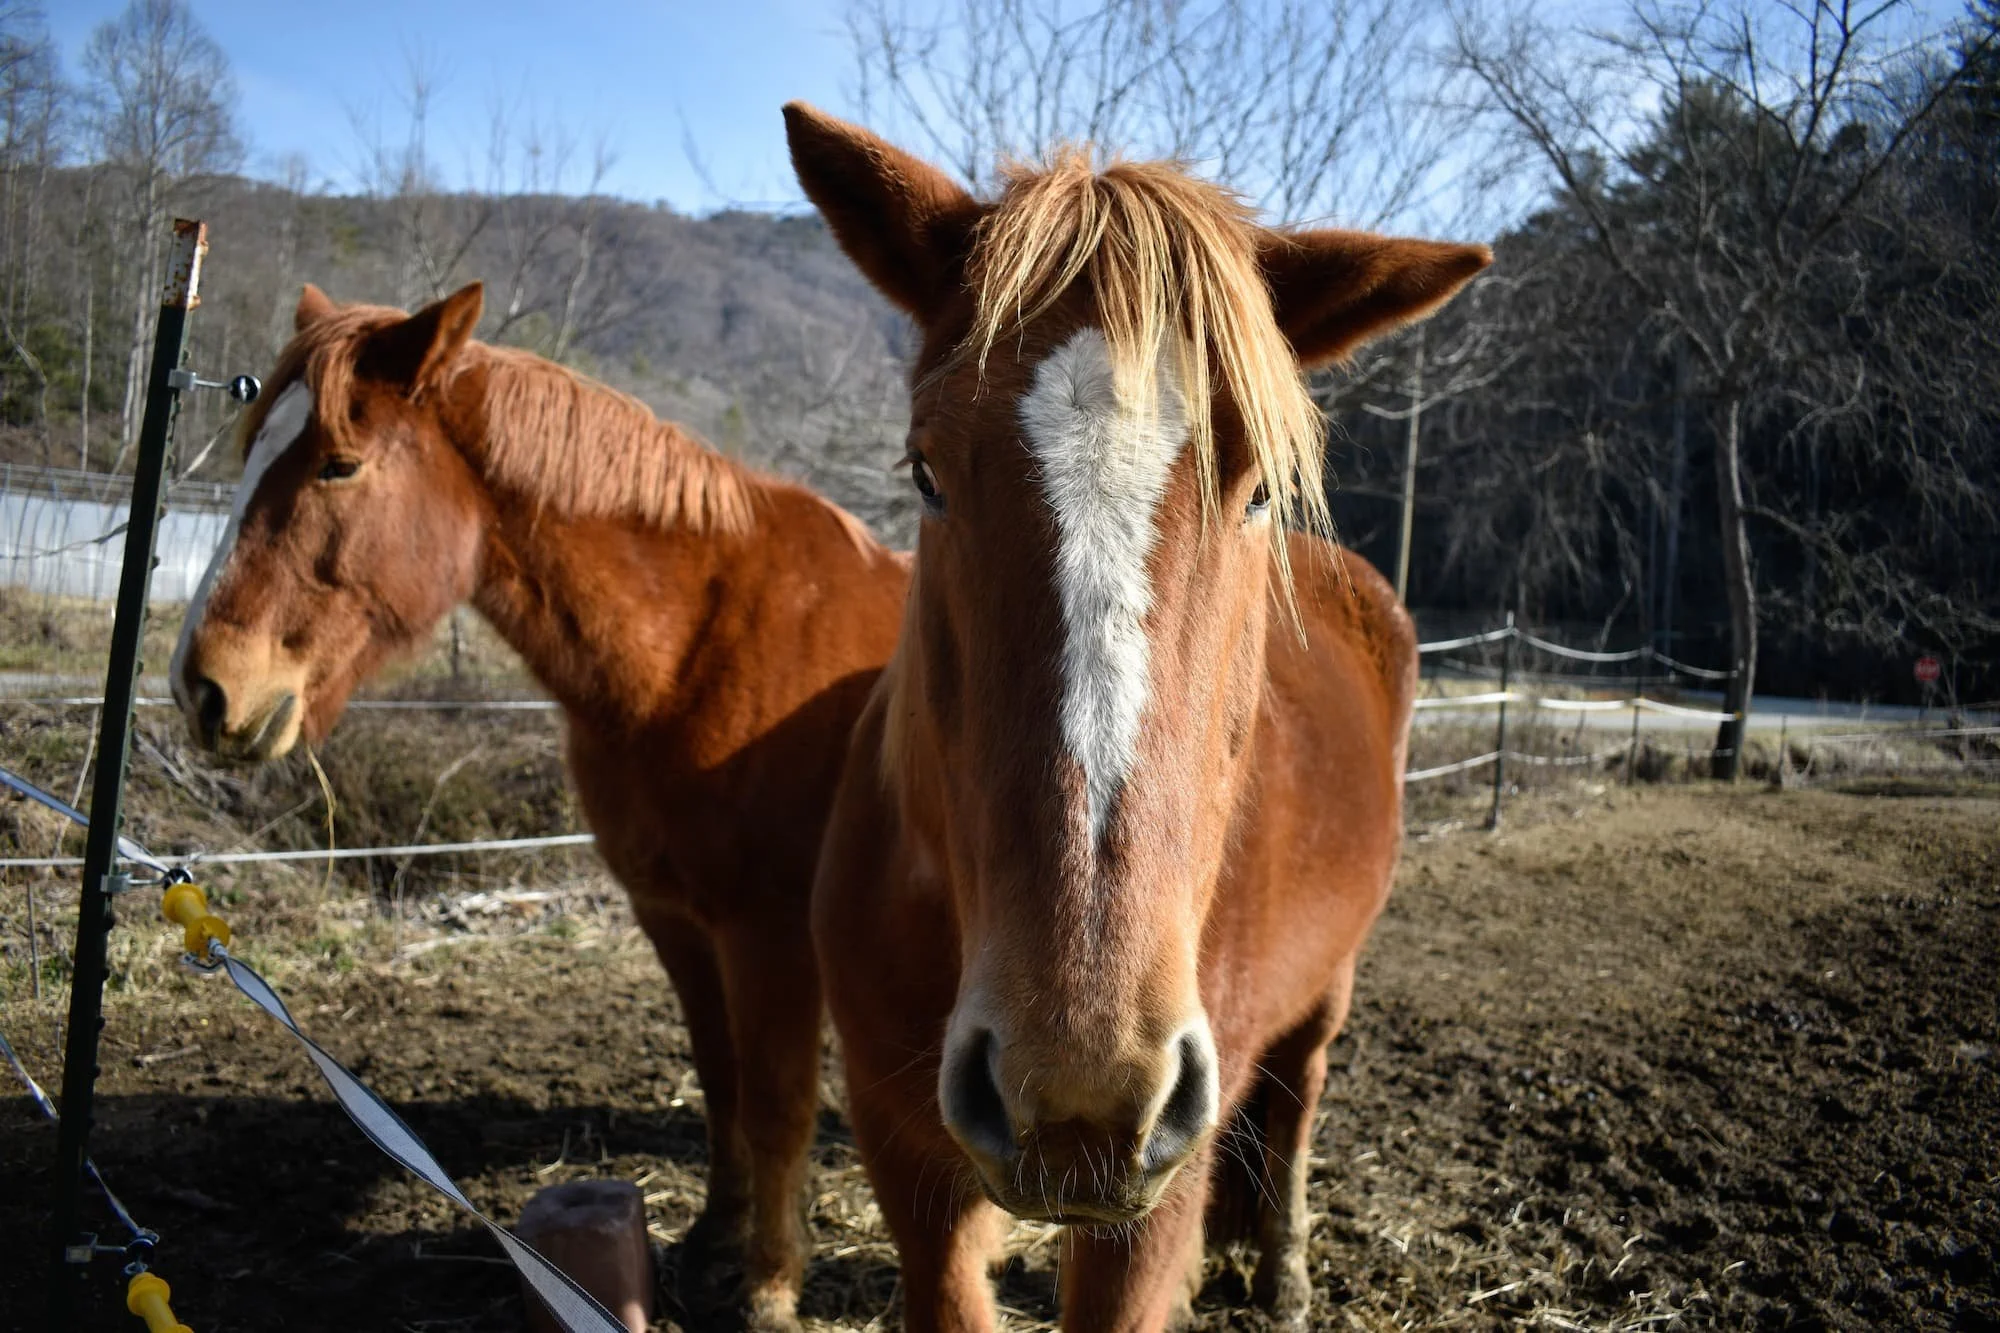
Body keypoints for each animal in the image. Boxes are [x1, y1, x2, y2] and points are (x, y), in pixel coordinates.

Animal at [168, 281, 910, 1331]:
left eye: (338, 463)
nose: (205, 688)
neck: (702, 646)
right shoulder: (677, 919)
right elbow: (720, 1085)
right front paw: (710, 1244)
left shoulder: (768, 936)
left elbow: (774, 1104)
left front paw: (768, 1286)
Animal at [785, 102, 1489, 1330]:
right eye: (924, 470)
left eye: (1258, 488)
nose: (1080, 1090)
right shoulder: (901, 1154)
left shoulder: (1143, 1209)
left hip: (1323, 998)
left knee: (1296, 1100)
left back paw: (1282, 1266)